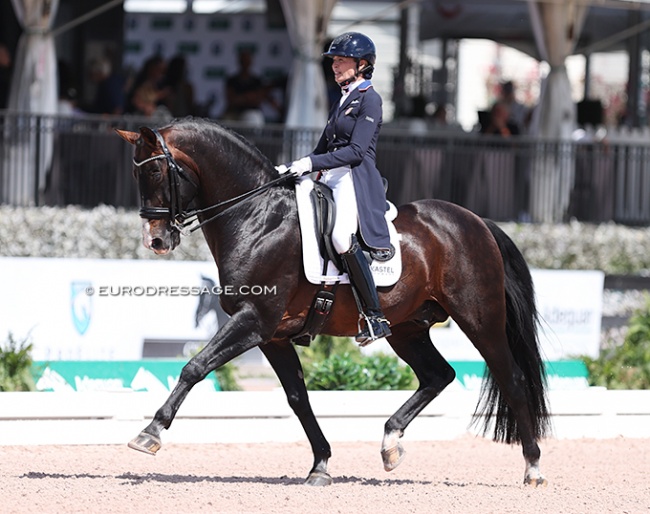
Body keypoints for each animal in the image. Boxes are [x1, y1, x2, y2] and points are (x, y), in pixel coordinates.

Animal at [115, 118, 548, 486]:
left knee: (511, 379)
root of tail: (476, 221)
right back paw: (391, 444)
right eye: (135, 173)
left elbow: (195, 366)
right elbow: (298, 398)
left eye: (154, 172)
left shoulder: (253, 320)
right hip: (407, 329)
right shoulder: (272, 336)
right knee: (438, 375)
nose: (155, 241)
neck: (257, 216)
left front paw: (150, 432)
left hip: (480, 319)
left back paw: (533, 468)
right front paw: (320, 464)